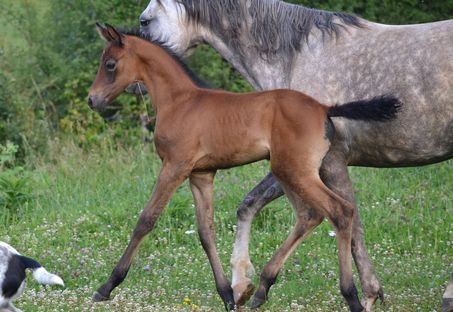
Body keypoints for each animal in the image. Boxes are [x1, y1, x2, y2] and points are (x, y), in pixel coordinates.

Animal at [88, 24, 400, 312]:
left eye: (110, 64)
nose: (93, 99)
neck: (180, 102)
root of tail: (324, 108)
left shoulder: (174, 166)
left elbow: (146, 220)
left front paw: (107, 286)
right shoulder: (201, 174)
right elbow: (206, 232)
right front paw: (227, 294)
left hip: (295, 171)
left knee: (340, 212)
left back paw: (351, 296)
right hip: (290, 172)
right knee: (310, 215)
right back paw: (261, 290)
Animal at [138, 0, 452, 310]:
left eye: (144, 21)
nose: (138, 84)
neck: (299, 57)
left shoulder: (329, 163)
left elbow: (352, 226)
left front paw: (368, 295)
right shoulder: (294, 165)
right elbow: (249, 205)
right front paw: (243, 286)